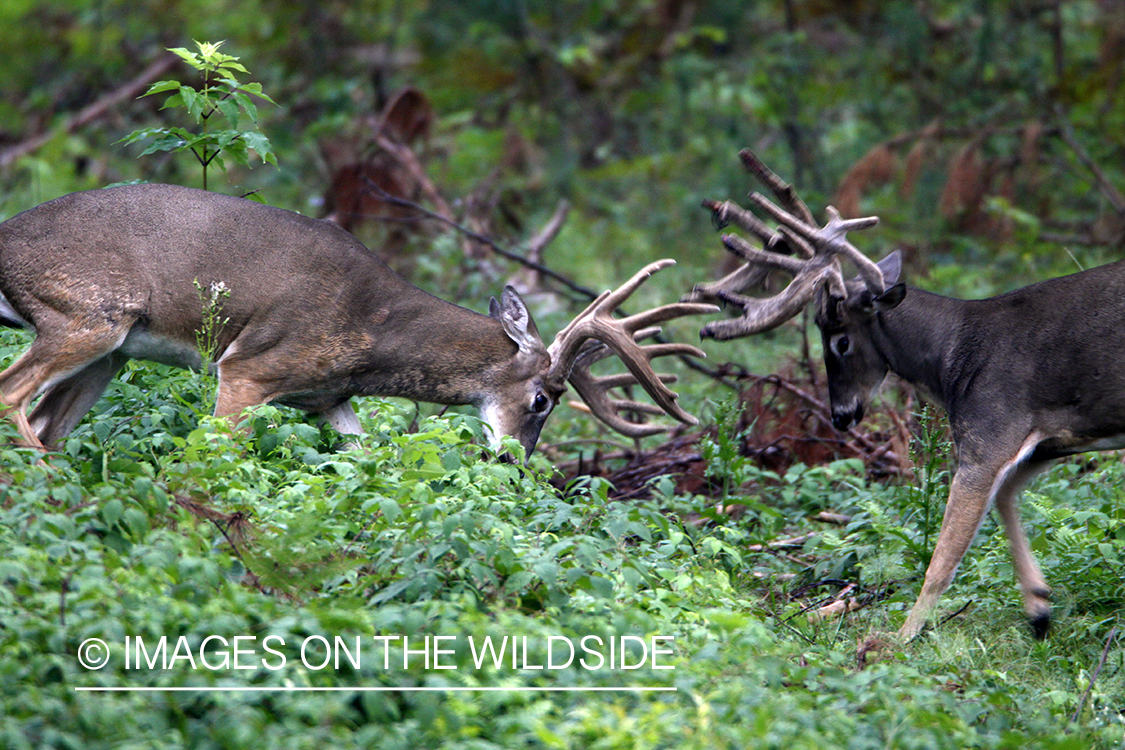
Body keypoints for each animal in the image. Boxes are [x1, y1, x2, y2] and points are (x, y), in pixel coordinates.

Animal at [0, 184, 715, 461]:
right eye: (543, 398)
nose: (513, 460)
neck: (374, 333)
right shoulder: (249, 367)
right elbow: (212, 454)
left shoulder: (326, 398)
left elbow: (366, 460)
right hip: (86, 316)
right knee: (12, 395)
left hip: (113, 352)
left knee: (48, 421)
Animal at [684, 149, 1125, 643]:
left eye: (840, 340)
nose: (840, 415)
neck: (954, 361)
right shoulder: (1043, 443)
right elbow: (1006, 501)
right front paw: (1039, 607)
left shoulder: (991, 431)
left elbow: (943, 558)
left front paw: (900, 638)